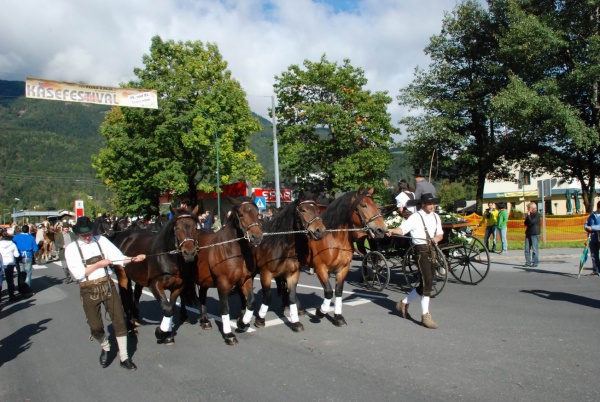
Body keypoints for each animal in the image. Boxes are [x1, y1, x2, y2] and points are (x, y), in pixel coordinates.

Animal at [111, 209, 198, 344]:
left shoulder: (178, 286)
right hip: (123, 276)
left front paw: (168, 334)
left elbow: (171, 307)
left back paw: (136, 317)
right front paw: (161, 332)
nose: (189, 253)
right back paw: (130, 328)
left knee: (136, 294)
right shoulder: (155, 285)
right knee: (125, 298)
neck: (167, 257)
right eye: (177, 228)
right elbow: (167, 308)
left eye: (195, 228)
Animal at [193, 196, 264, 344]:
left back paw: (205, 321)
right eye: (241, 214)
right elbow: (225, 307)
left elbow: (250, 303)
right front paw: (228, 334)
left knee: (202, 296)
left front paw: (242, 323)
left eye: (257, 214)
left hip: (204, 280)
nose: (257, 237)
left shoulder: (246, 280)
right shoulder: (223, 283)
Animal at [251, 199, 326, 332]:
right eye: (303, 210)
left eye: (317, 210)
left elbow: (291, 295)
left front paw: (295, 321)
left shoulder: (292, 274)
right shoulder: (265, 274)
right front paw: (260, 320)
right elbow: (267, 297)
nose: (320, 231)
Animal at [308, 188, 386, 326]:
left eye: (376, 205)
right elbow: (328, 291)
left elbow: (338, 291)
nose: (381, 230)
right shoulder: (321, 268)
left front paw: (338, 317)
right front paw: (320, 312)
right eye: (363, 205)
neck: (333, 239)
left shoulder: (343, 268)